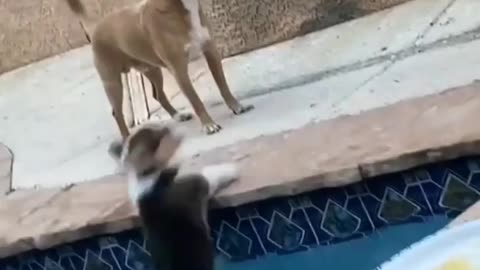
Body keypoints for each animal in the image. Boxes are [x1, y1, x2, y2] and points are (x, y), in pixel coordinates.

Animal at [64, 0, 255, 137]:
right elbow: (196, 100)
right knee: (117, 113)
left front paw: (236, 106)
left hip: (153, 71)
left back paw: (178, 116)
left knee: (158, 95)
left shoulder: (211, 53)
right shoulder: (179, 70)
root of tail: (97, 25)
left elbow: (223, 86)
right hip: (113, 83)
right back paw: (126, 141)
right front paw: (208, 124)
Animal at [108, 122, 237, 270]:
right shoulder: (198, 183)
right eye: (164, 133)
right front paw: (231, 169)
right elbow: (209, 173)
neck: (146, 175)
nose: (173, 125)